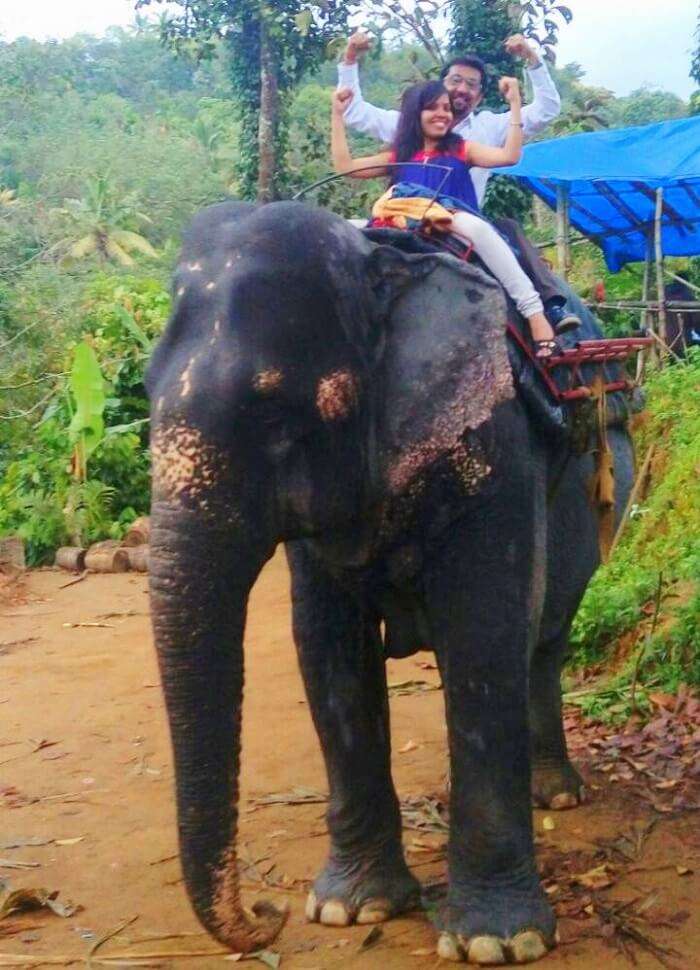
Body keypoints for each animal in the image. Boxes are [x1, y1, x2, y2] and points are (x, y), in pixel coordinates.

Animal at [146, 200, 636, 964]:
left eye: (277, 415)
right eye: (144, 391)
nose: (265, 913)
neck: (381, 269)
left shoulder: (494, 436)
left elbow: (485, 630)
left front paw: (498, 942)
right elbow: (326, 647)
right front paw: (350, 909)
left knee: (545, 638)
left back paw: (555, 795)